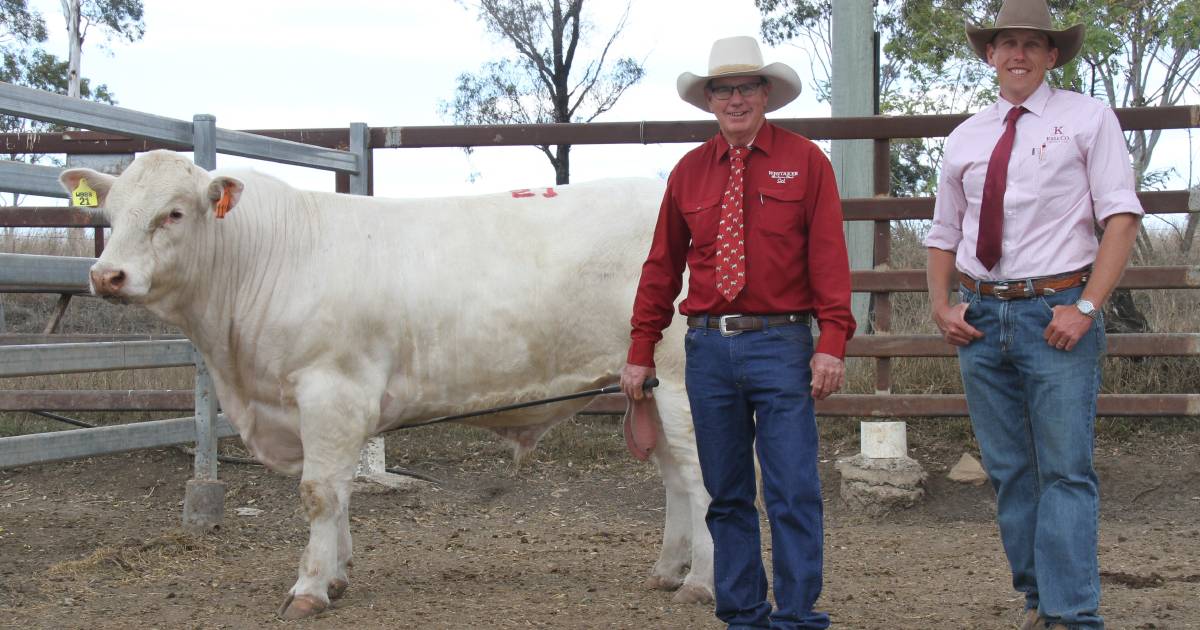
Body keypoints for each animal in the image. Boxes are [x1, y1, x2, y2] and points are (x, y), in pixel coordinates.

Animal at [60, 151, 710, 619]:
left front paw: (309, 589)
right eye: (110, 214)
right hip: (647, 384)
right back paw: (665, 571)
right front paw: (338, 574)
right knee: (675, 478)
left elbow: (319, 491)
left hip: (682, 381)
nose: (107, 275)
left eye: (173, 212)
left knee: (701, 477)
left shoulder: (332, 390)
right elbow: (340, 491)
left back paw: (700, 584)